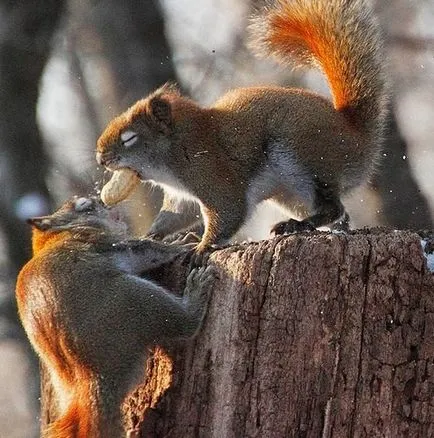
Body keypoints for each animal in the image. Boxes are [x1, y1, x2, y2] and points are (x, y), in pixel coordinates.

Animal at [14, 197, 210, 436]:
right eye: (87, 207)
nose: (103, 201)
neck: (58, 235)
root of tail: (92, 376)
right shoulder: (109, 245)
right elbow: (150, 249)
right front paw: (183, 243)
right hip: (137, 300)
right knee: (186, 325)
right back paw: (197, 291)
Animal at [96, 0, 388, 253]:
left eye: (129, 138)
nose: (100, 158)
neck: (181, 143)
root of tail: (357, 135)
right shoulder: (181, 198)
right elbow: (174, 218)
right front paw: (148, 237)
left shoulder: (213, 175)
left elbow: (228, 212)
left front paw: (201, 247)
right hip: (290, 194)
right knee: (341, 217)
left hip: (304, 161)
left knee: (333, 209)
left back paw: (297, 226)